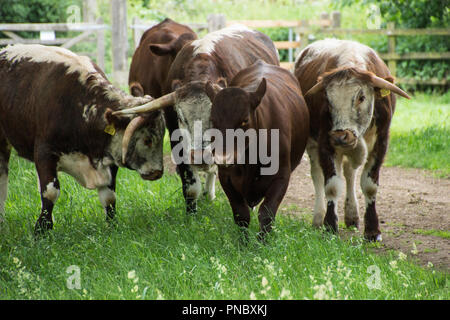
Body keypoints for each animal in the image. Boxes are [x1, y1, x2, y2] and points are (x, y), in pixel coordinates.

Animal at [0, 43, 165, 232]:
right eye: (147, 140)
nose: (157, 172)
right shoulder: (44, 153)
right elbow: (50, 192)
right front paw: (42, 229)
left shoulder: (108, 158)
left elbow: (109, 197)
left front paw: (112, 226)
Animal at [204, 61, 310, 239]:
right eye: (213, 120)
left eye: (244, 120)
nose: (223, 158)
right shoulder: (226, 176)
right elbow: (241, 215)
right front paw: (243, 242)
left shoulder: (282, 176)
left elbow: (266, 213)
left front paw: (262, 242)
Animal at [294, 38, 410, 241]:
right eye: (328, 99)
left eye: (361, 97)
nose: (340, 136)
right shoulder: (325, 143)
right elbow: (332, 186)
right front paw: (329, 225)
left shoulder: (381, 143)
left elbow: (369, 185)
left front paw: (372, 230)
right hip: (313, 144)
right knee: (318, 175)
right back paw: (318, 218)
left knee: (350, 173)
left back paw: (352, 216)